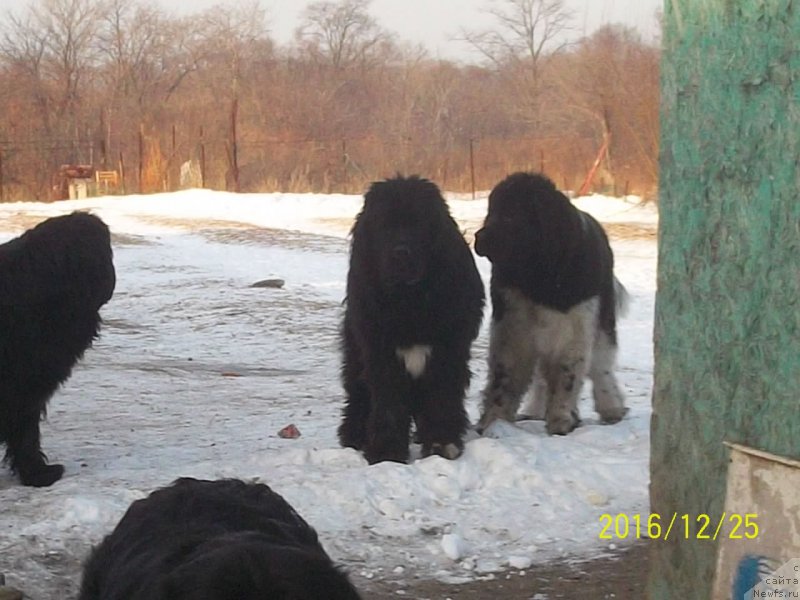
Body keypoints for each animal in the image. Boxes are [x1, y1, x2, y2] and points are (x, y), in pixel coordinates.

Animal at [336, 173, 484, 464]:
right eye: (383, 225)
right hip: (356, 353)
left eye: (420, 225)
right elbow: (388, 405)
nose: (401, 252)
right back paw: (353, 435)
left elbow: (442, 398)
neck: (409, 299)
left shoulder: (448, 351)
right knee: (357, 394)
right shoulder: (380, 354)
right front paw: (386, 452)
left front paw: (442, 443)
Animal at [472, 173, 628, 436]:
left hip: (602, 320)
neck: (541, 276)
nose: (478, 238)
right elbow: (505, 376)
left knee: (601, 366)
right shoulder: (513, 329)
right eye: (491, 211)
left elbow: (568, 375)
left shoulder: (574, 327)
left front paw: (560, 418)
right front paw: (494, 419)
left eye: (511, 215)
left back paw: (610, 408)